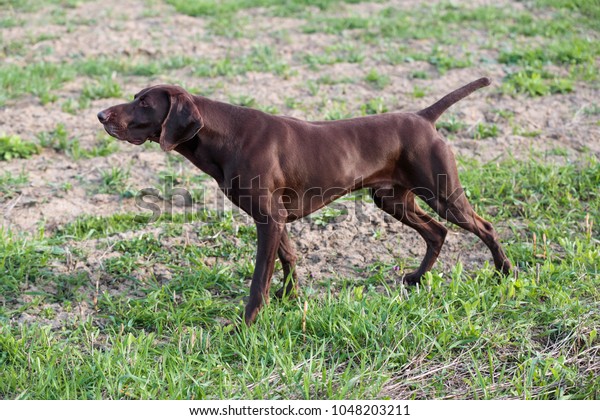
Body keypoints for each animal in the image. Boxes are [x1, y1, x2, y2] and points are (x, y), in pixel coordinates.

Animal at [98, 78, 510, 324]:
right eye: (135, 98)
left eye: (144, 103)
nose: (101, 114)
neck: (225, 135)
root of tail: (424, 118)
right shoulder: (275, 217)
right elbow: (289, 256)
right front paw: (289, 296)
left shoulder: (269, 218)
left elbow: (259, 279)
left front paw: (248, 323)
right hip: (392, 199)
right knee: (437, 232)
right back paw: (417, 278)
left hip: (443, 194)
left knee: (484, 226)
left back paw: (505, 272)